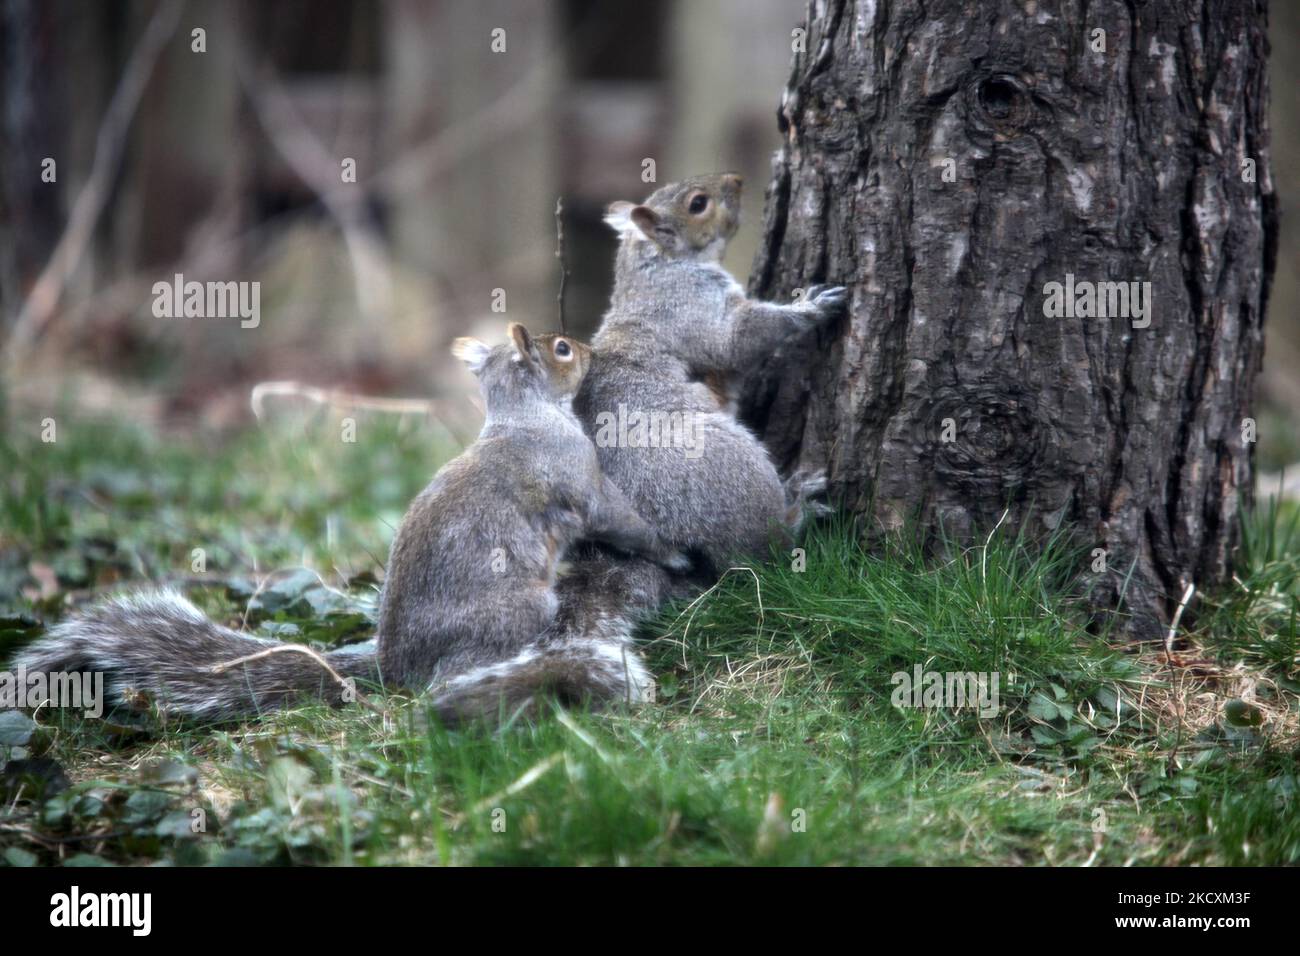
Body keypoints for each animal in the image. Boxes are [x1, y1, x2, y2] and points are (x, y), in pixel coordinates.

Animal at [15, 325, 686, 723]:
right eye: (563, 349)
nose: (593, 351)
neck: (525, 416)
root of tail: (394, 669)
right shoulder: (580, 479)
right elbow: (618, 516)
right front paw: (672, 551)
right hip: (517, 609)